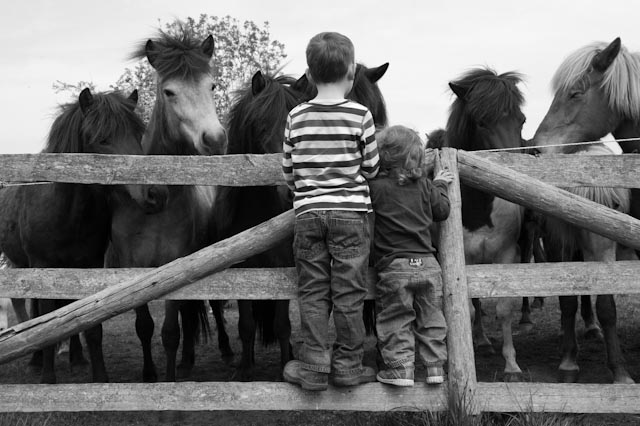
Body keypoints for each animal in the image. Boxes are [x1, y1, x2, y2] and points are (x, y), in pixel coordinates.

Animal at [0, 88, 165, 384]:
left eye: (138, 135)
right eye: (102, 139)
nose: (156, 194)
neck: (65, 212)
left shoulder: (90, 265)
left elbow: (90, 325)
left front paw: (100, 377)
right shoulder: (42, 267)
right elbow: (46, 323)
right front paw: (47, 378)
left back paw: (77, 356)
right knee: (35, 311)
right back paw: (36, 361)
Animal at [107, 30, 230, 382]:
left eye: (211, 86)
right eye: (169, 91)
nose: (215, 140)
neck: (154, 209)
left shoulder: (176, 266)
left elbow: (170, 332)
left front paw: (170, 379)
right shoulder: (131, 271)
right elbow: (144, 327)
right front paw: (150, 376)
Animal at [212, 62, 388, 380]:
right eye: (259, 124)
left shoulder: (282, 264)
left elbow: (282, 324)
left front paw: (286, 363)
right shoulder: (242, 269)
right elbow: (246, 325)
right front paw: (245, 370)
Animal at [428, 68, 528, 382]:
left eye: (521, 120)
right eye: (482, 122)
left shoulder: (507, 255)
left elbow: (504, 307)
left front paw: (511, 365)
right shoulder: (465, 258)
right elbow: (468, 309)